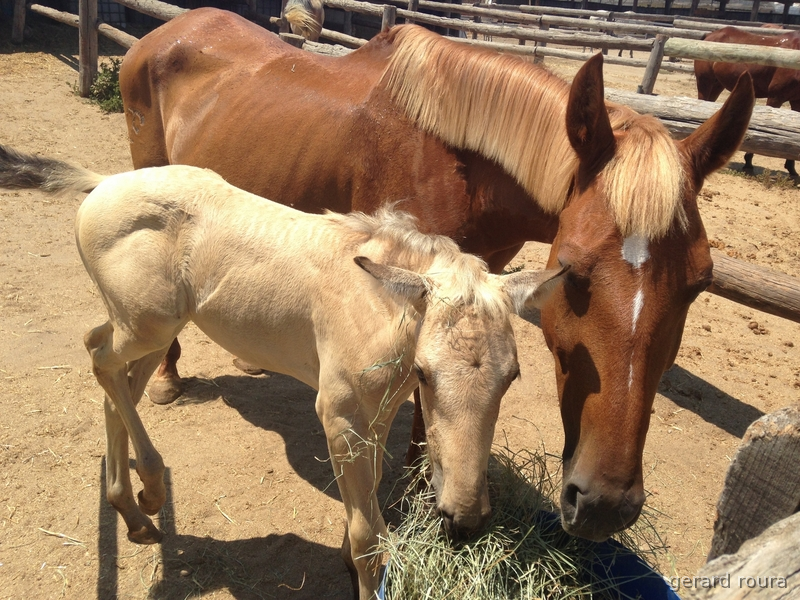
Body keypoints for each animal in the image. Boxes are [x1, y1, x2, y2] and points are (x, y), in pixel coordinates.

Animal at [0, 143, 566, 599]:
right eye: (426, 374)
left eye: (511, 377)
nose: (465, 520)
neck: (377, 305)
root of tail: (103, 183)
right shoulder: (340, 414)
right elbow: (369, 536)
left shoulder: (377, 415)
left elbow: (369, 498)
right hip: (146, 327)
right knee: (97, 356)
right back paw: (153, 487)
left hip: (149, 329)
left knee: (116, 383)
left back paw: (136, 513)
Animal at [119, 9, 755, 543]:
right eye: (571, 271)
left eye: (700, 282)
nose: (605, 505)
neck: (457, 163)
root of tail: (165, 33)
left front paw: (429, 478)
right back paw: (166, 378)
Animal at [694, 25, 800, 176]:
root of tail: (709, 35)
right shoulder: (775, 97)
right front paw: (748, 163)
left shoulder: (797, 101)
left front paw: (791, 168)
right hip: (705, 83)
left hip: (717, 85)